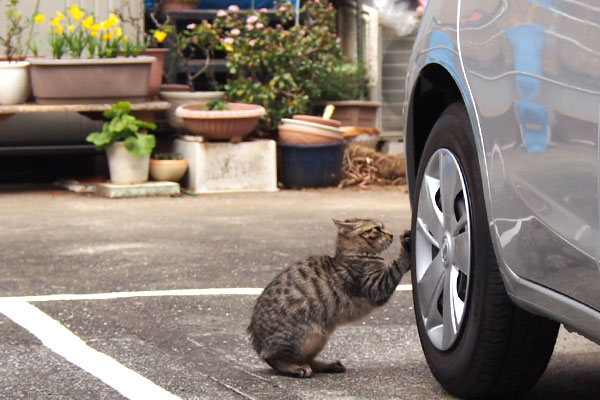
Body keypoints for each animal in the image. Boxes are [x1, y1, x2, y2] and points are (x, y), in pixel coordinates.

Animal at [246, 219, 410, 378]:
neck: (356, 254)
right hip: (300, 336)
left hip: (318, 338)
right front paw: (406, 246)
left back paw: (329, 365)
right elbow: (397, 266)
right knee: (274, 359)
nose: (391, 234)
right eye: (377, 229)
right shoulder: (376, 286)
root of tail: (257, 341)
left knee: (305, 359)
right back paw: (296, 368)